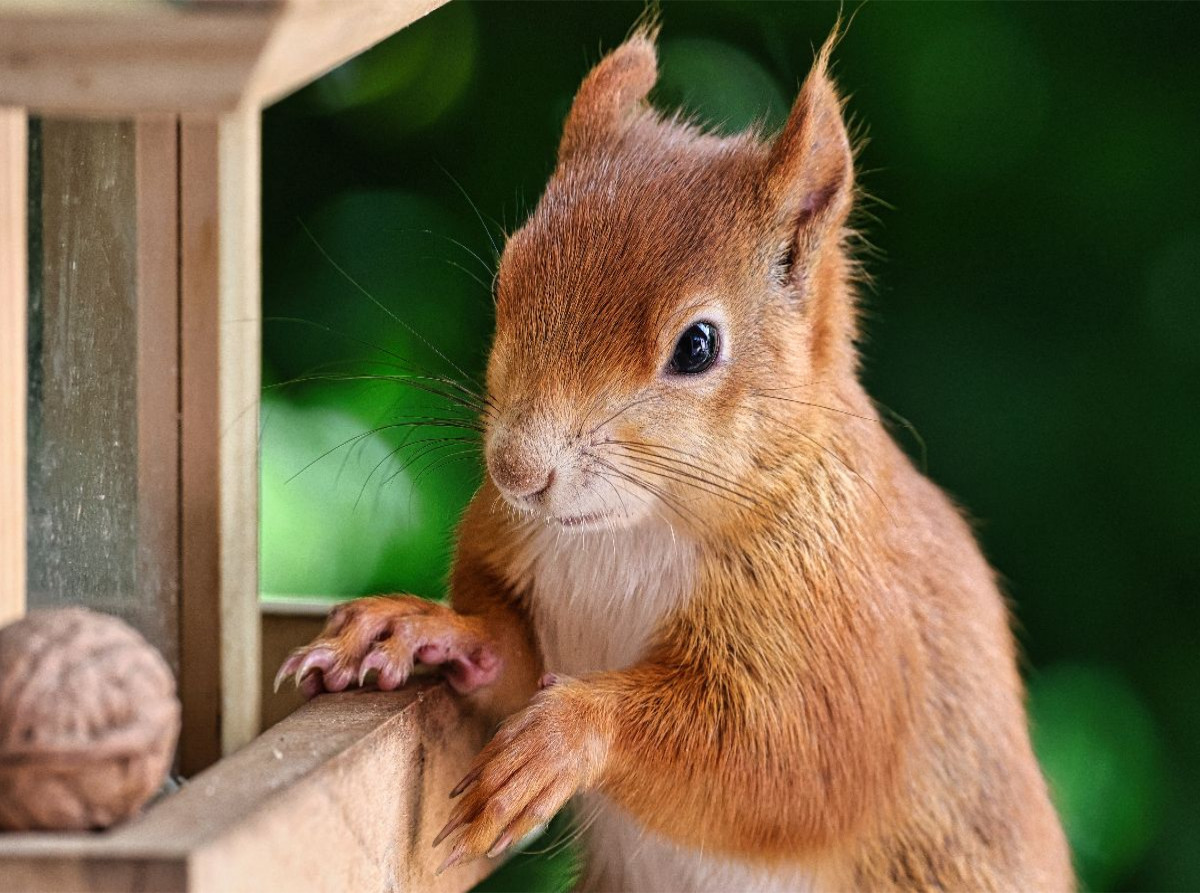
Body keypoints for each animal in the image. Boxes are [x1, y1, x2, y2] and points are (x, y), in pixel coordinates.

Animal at [277, 24, 1072, 893]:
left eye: (697, 345)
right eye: (507, 275)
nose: (517, 472)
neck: (626, 532)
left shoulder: (846, 637)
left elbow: (794, 763)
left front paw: (568, 734)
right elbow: (508, 656)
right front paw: (421, 627)